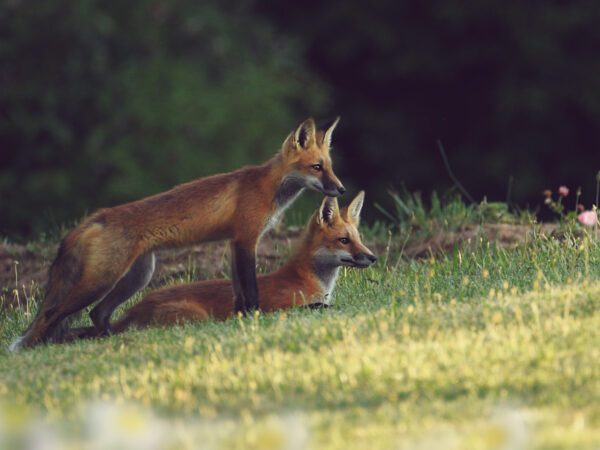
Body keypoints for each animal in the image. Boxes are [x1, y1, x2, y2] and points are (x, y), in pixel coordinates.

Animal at [11, 118, 344, 350]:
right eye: (316, 167)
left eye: (330, 167)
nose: (341, 189)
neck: (268, 187)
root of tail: (96, 218)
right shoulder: (245, 239)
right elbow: (250, 289)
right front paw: (256, 317)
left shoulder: (233, 243)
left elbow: (238, 291)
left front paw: (241, 319)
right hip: (100, 280)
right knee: (52, 316)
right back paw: (37, 348)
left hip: (137, 277)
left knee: (97, 314)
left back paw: (107, 340)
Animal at [63, 192, 378, 340]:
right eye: (344, 240)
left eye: (359, 239)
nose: (373, 257)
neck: (311, 281)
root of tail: (135, 308)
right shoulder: (282, 306)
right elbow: (320, 307)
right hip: (198, 318)